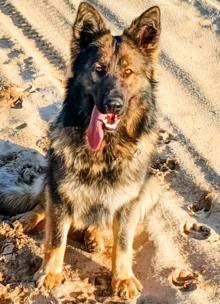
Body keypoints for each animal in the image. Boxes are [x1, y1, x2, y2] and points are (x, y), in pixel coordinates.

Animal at [0, 2, 162, 300]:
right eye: (99, 69)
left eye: (128, 72)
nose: (113, 105)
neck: (105, 151)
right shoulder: (61, 193)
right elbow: (55, 239)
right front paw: (50, 272)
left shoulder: (129, 203)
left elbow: (123, 244)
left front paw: (123, 277)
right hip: (53, 178)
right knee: (42, 203)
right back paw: (26, 219)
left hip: (151, 187)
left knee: (100, 222)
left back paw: (95, 235)